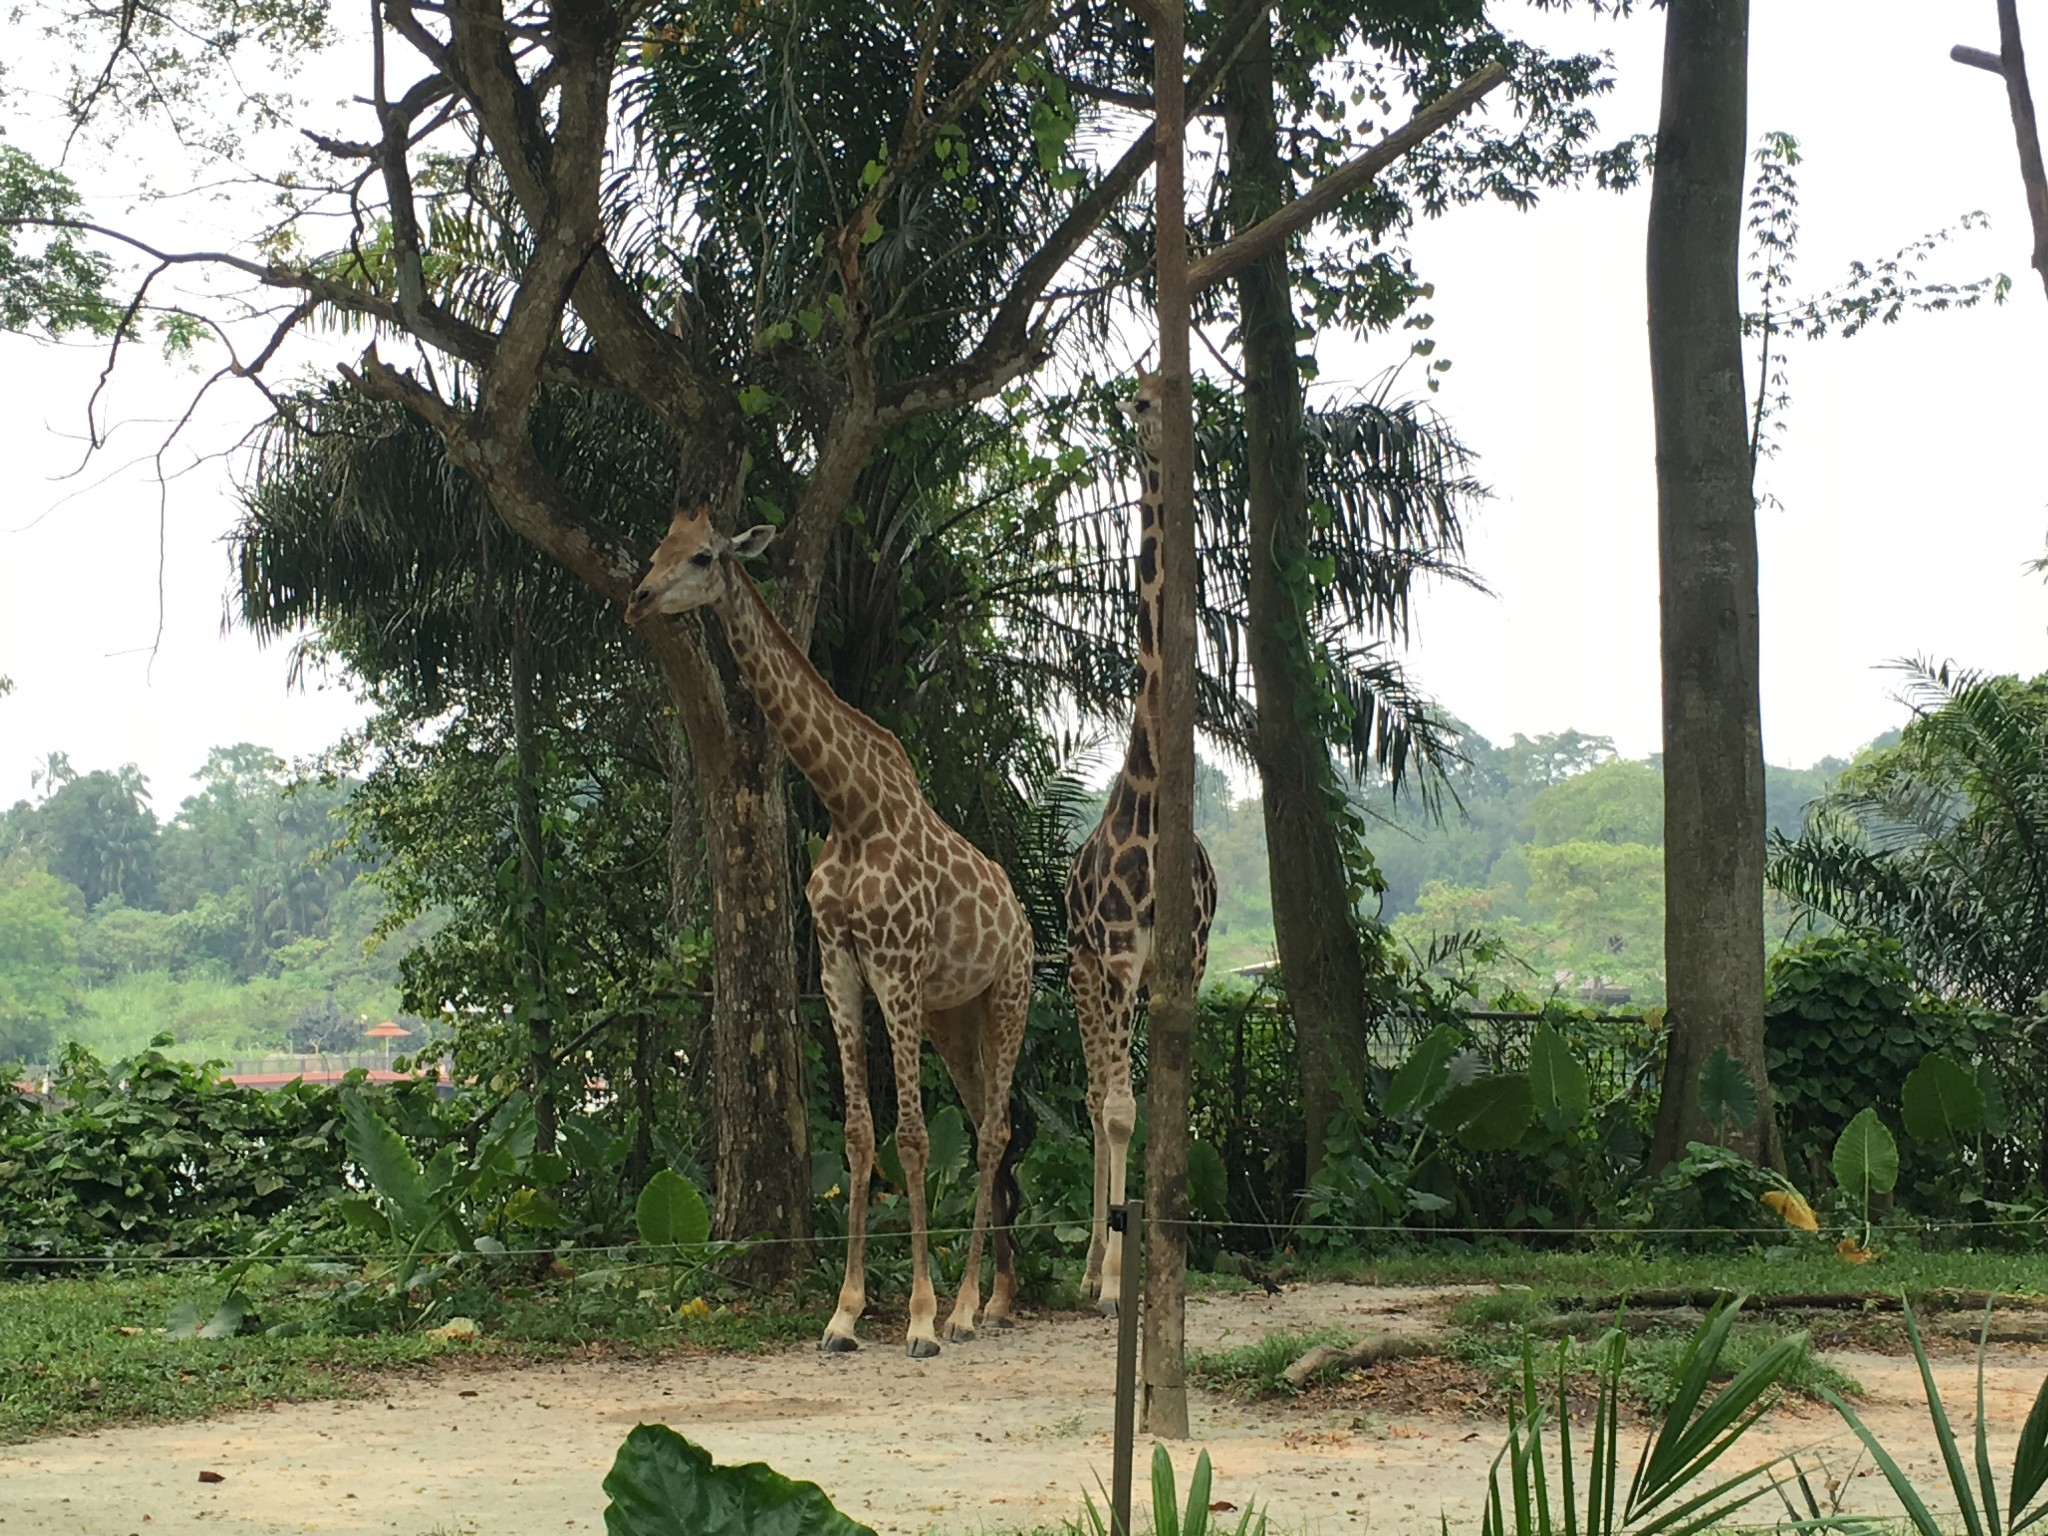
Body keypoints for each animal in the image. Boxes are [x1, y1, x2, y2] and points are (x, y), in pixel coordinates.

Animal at [626, 512, 1040, 1368]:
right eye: (652, 550)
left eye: (703, 556)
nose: (637, 599)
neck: (850, 807)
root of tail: (1020, 914)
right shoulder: (840, 968)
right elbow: (857, 1136)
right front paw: (845, 1315)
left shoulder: (897, 967)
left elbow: (912, 1137)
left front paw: (918, 1319)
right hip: (956, 1018)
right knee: (985, 1126)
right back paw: (993, 1298)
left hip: (1008, 993)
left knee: (992, 1136)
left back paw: (961, 1311)